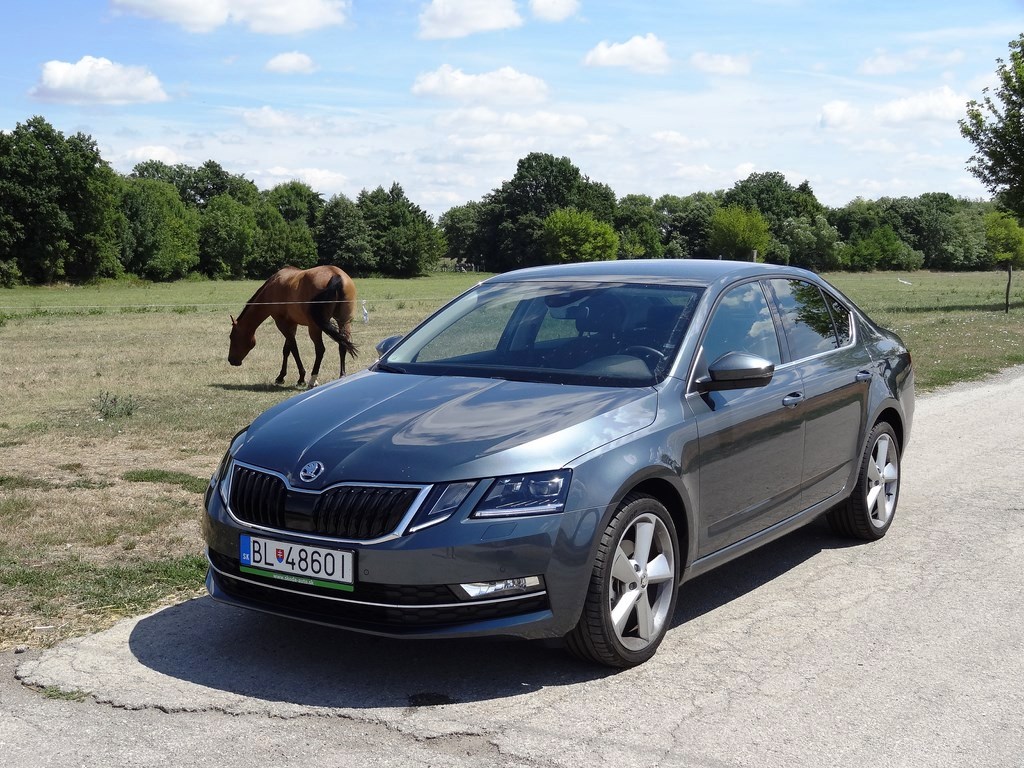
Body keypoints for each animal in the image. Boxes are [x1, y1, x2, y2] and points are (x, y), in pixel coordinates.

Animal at [230, 266, 358, 387]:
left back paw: (313, 380)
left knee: (320, 349)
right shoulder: (292, 325)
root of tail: (335, 274)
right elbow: (287, 349)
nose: (231, 360)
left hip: (314, 328)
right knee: (342, 345)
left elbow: (293, 349)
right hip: (344, 322)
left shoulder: (282, 324)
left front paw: (301, 378)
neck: (271, 288)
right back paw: (342, 376)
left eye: (232, 337)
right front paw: (281, 377)